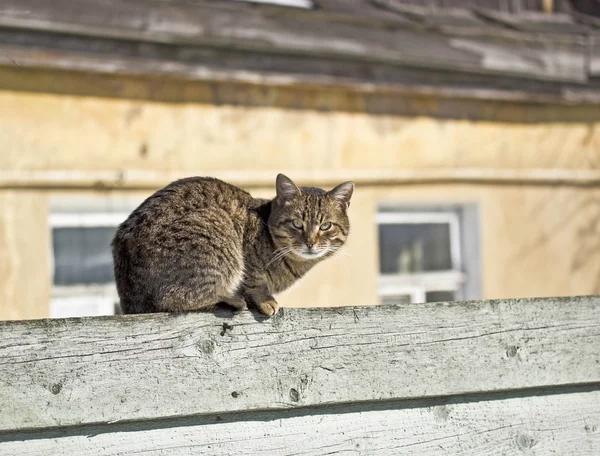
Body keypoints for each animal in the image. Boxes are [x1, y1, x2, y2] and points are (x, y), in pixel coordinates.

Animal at [111, 175, 352, 318]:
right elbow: (254, 281)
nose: (310, 242)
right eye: (297, 224)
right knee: (173, 298)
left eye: (326, 226)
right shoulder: (248, 256)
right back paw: (232, 300)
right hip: (217, 226)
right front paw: (265, 300)